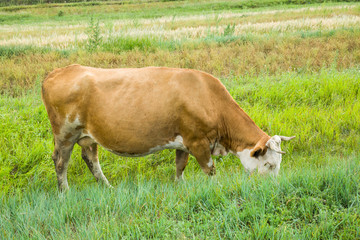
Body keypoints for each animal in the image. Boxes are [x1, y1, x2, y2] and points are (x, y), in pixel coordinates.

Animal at [42, 64, 296, 190]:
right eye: (269, 164)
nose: (274, 187)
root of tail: (58, 71)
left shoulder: (184, 143)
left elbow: (180, 166)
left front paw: (179, 186)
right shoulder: (198, 142)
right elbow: (210, 170)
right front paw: (215, 187)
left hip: (88, 135)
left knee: (91, 159)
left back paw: (107, 187)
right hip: (65, 134)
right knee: (61, 162)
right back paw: (64, 192)